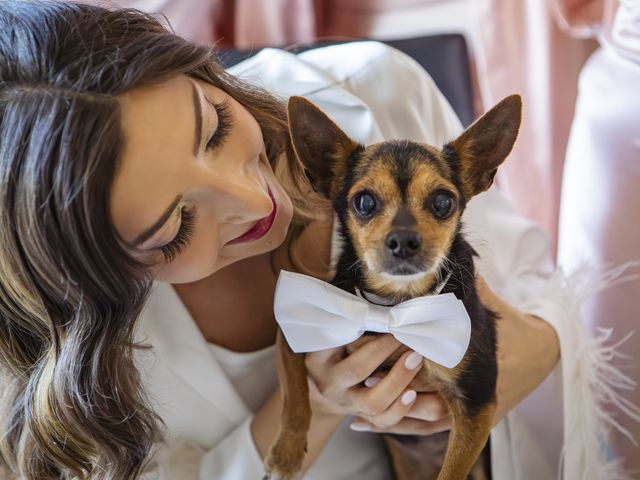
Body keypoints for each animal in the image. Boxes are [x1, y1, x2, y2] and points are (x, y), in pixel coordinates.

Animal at [264, 94, 520, 480]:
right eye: (364, 202)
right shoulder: (296, 327)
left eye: (443, 202)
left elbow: (452, 472)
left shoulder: (477, 402)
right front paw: (287, 452)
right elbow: (294, 392)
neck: (396, 303)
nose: (403, 240)